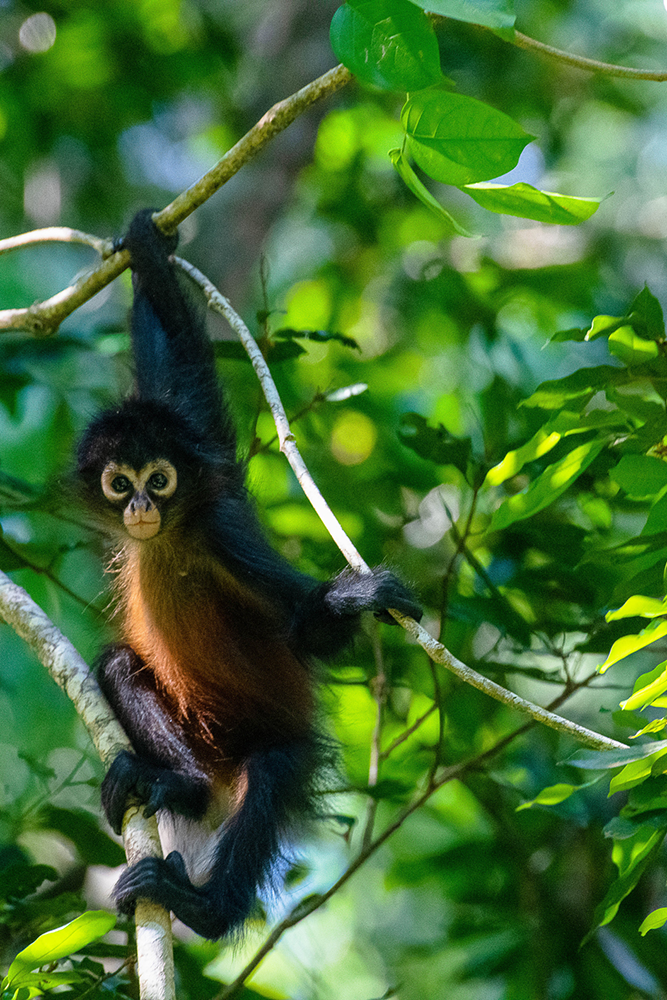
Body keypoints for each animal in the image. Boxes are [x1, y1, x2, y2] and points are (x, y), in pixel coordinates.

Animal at [77, 209, 422, 936]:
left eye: (158, 479)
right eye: (121, 482)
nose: (142, 506)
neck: (172, 537)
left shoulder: (224, 532)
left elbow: (308, 632)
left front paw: (358, 597)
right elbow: (177, 378)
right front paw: (148, 254)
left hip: (269, 746)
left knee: (271, 772)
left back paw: (204, 907)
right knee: (118, 665)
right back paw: (179, 786)